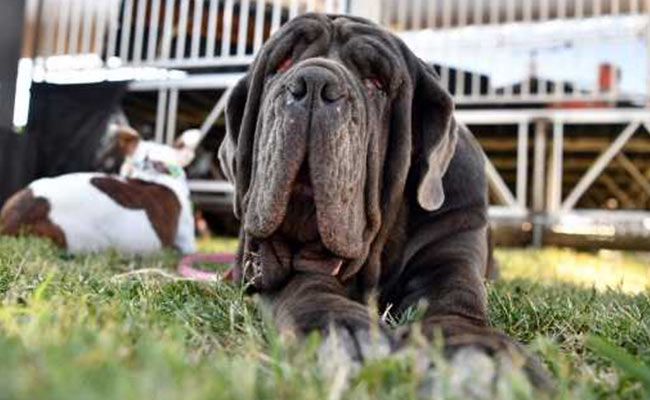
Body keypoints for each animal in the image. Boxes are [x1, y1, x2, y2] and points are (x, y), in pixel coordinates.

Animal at [218, 14, 548, 390]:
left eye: (376, 82)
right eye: (282, 63)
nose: (313, 82)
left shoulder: (454, 240)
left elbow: (456, 296)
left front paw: (481, 356)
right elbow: (307, 284)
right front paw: (341, 330)